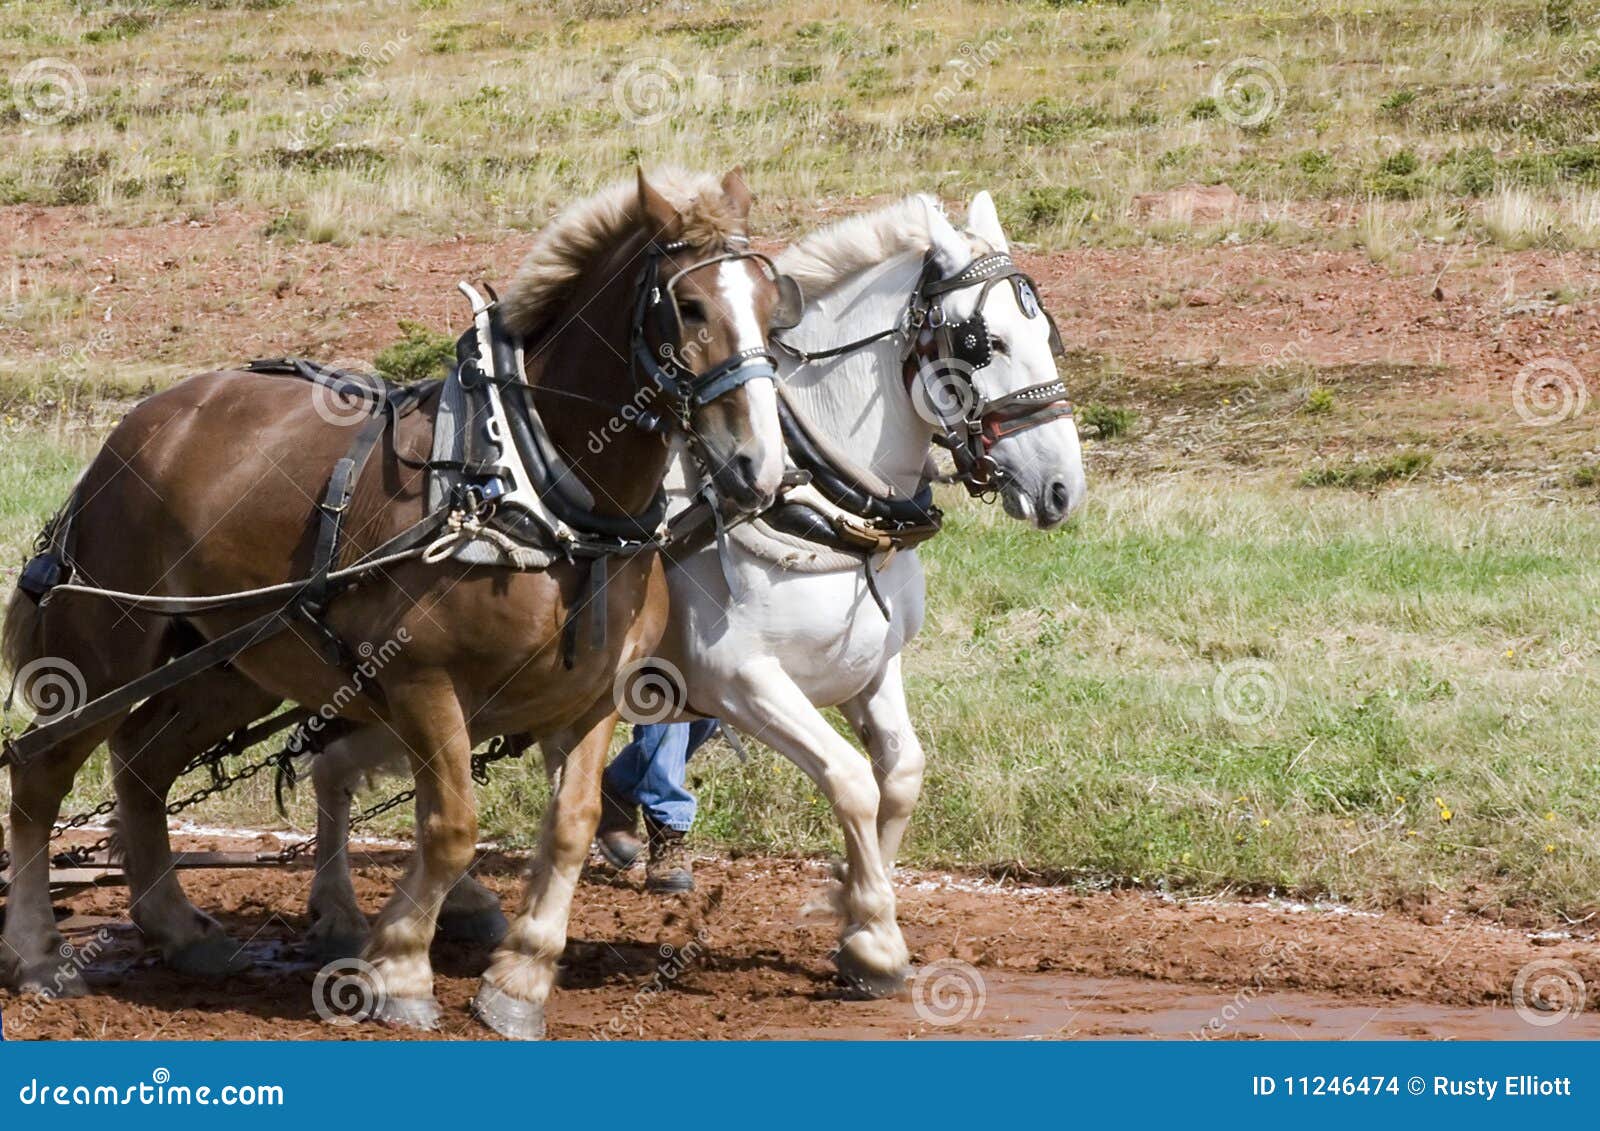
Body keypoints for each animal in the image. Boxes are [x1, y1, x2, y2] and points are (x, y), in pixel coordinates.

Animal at [0, 167, 790, 1038]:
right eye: (690, 306)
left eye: (772, 303)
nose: (760, 465)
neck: (533, 484)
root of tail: (135, 429)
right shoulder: (422, 681)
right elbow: (450, 828)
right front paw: (400, 966)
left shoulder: (589, 700)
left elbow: (570, 829)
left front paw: (519, 981)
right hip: (107, 651)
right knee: (39, 771)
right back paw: (38, 954)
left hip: (232, 665)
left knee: (142, 764)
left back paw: (177, 928)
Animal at [306, 190, 1085, 1006]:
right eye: (983, 343)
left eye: (1047, 333)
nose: (1064, 486)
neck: (815, 494)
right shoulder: (741, 678)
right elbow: (850, 780)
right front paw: (873, 939)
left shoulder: (871, 667)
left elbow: (900, 775)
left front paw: (852, 908)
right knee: (338, 768)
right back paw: (348, 914)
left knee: (364, 771)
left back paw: (454, 901)